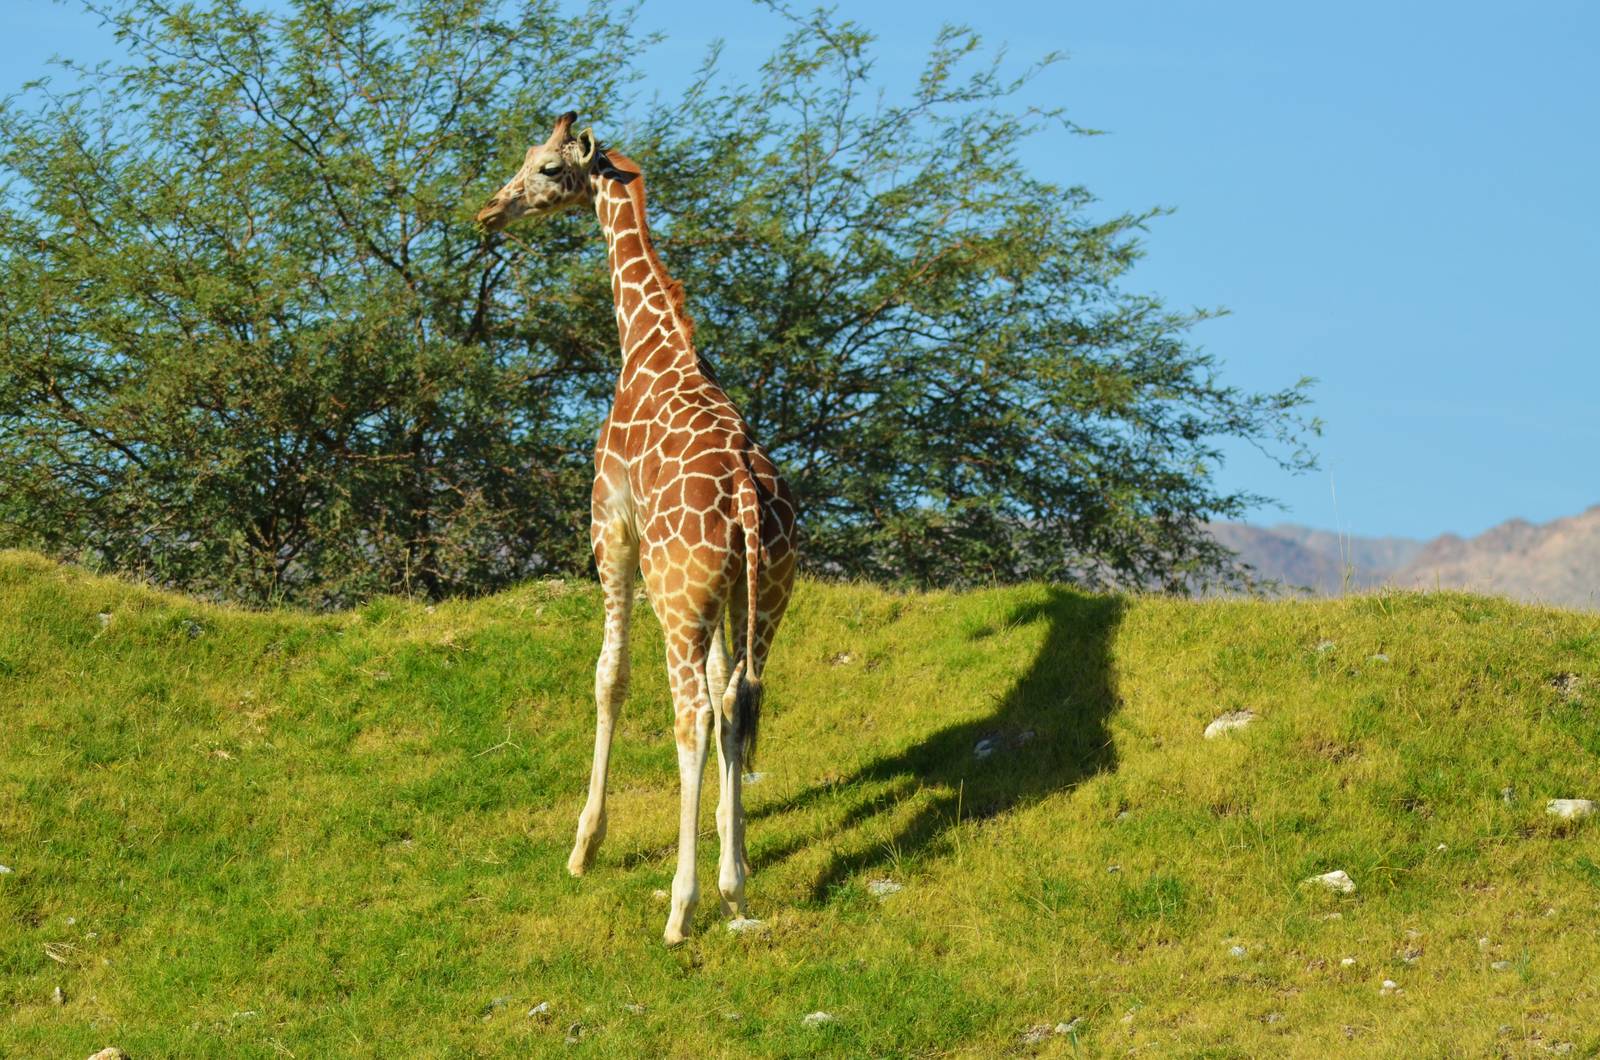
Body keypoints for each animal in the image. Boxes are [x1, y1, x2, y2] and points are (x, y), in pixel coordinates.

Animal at [475, 112, 798, 944]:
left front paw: (584, 845)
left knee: (690, 714)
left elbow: (608, 676)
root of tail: (746, 495)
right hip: (765, 593)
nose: (490, 211)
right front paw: (731, 849)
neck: (650, 345)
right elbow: (724, 696)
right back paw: (734, 885)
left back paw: (682, 908)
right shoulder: (723, 591)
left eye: (547, 167)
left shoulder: (609, 526)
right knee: (737, 700)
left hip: (679, 596)